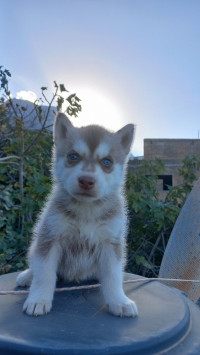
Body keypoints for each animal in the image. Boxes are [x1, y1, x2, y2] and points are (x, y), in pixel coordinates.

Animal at [16, 112, 138, 318]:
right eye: (73, 156)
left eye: (107, 162)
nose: (86, 180)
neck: (86, 210)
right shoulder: (50, 238)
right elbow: (44, 274)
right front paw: (38, 299)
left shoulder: (111, 243)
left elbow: (113, 277)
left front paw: (119, 301)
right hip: (36, 244)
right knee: (35, 265)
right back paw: (26, 276)